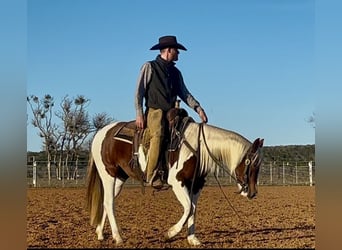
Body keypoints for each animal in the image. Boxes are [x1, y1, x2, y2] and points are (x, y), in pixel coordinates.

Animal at [86, 108, 264, 245]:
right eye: (252, 164)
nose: (253, 192)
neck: (197, 146)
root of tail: (101, 133)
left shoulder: (196, 184)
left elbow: (193, 210)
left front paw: (192, 239)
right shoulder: (177, 182)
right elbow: (189, 208)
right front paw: (170, 233)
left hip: (120, 178)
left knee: (106, 201)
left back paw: (100, 233)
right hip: (108, 174)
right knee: (109, 202)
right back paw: (118, 237)